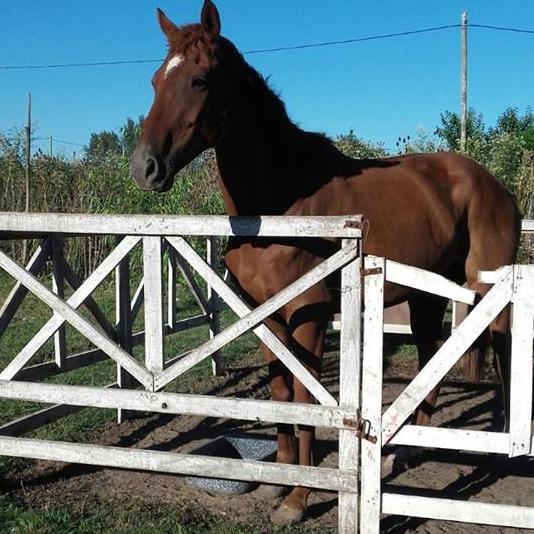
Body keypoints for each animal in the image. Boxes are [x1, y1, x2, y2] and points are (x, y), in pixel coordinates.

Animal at [131, 0, 524, 524]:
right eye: (156, 80)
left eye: (199, 80)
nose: (145, 167)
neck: (279, 202)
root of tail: (494, 186)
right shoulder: (267, 317)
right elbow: (281, 396)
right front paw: (277, 485)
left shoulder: (310, 316)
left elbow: (305, 399)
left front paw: (299, 500)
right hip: (427, 294)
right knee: (430, 358)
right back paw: (409, 450)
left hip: (491, 293)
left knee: (501, 353)